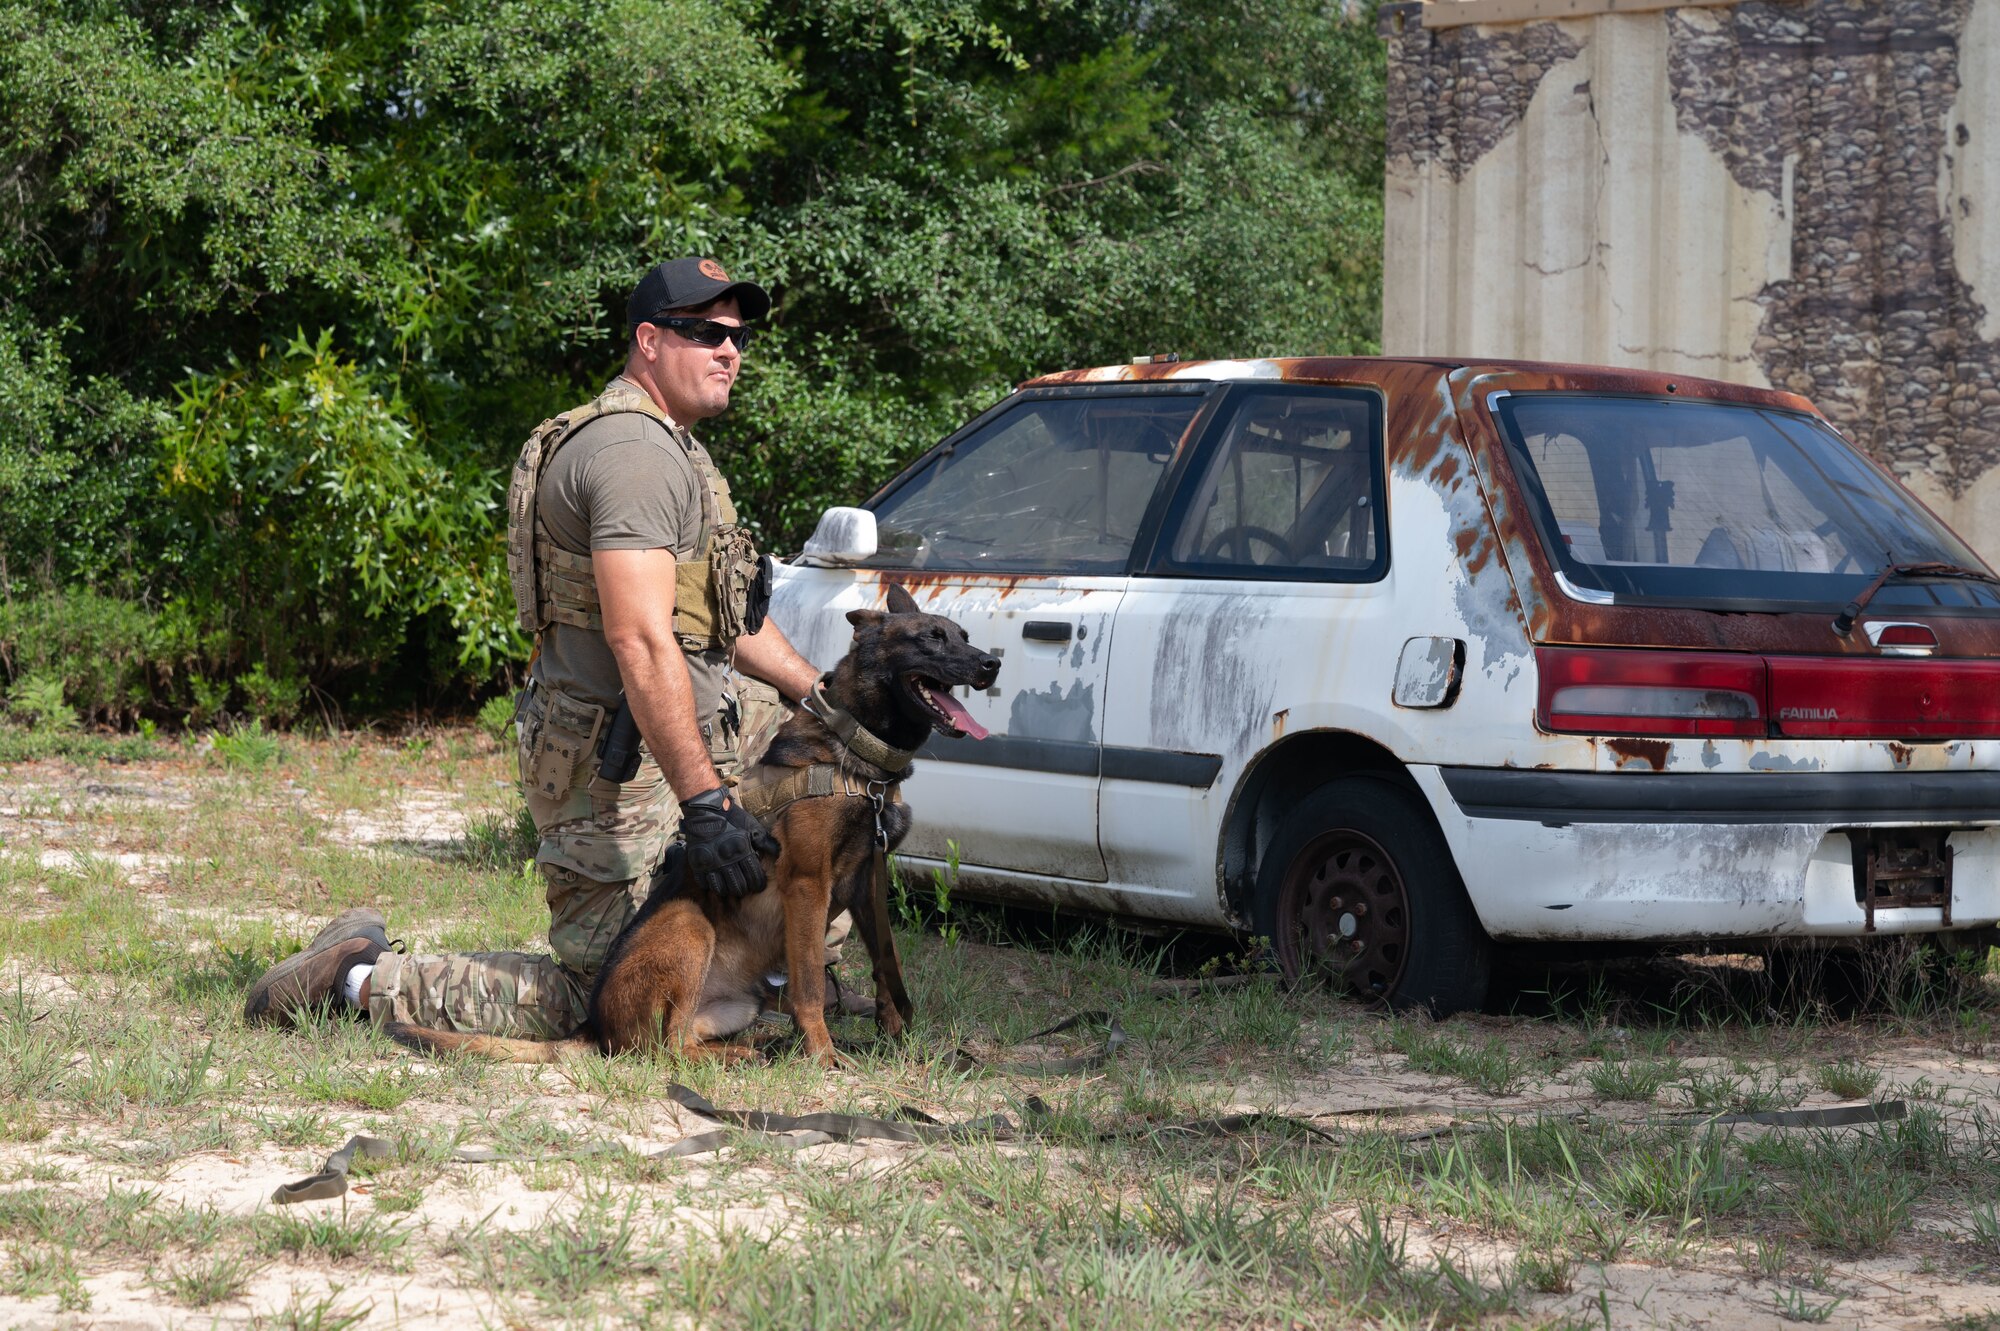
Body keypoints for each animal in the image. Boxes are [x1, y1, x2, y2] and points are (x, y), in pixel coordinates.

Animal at [388, 587, 1000, 1063]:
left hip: (738, 1000)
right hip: (689, 926)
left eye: (964, 635)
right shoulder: (808, 885)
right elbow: (807, 986)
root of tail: (592, 1028)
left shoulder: (869, 879)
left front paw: (897, 1038)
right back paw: (751, 1055)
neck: (857, 756)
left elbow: (886, 967)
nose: (991, 664)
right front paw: (825, 1055)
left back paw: (754, 1047)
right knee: (666, 1051)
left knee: (685, 1039)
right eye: (931, 639)